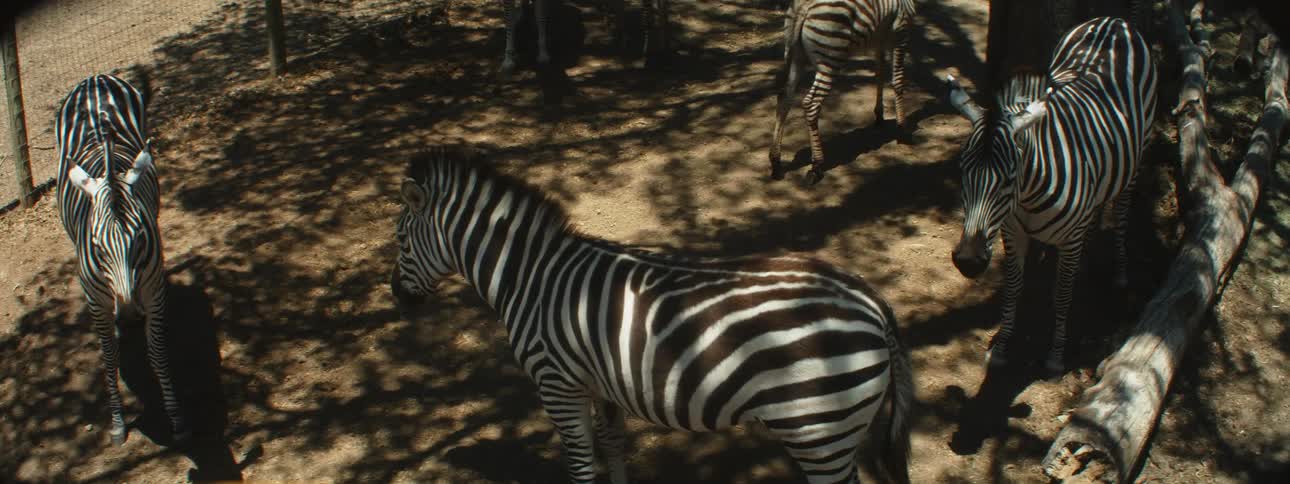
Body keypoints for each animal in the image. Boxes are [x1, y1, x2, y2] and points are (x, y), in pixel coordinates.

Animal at [55, 74, 189, 445]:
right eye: (97, 247)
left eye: (141, 238)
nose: (129, 316)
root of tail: (95, 78)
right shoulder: (96, 300)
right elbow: (109, 356)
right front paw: (117, 423)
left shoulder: (153, 290)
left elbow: (157, 353)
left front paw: (175, 417)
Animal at [391, 147, 913, 483]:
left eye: (399, 241)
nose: (397, 297)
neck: (531, 276)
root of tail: (870, 301)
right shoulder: (600, 384)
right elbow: (613, 447)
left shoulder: (556, 384)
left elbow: (581, 465)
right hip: (836, 431)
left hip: (817, 428)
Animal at [769, 0, 916, 184]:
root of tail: (804, 5)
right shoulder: (901, 31)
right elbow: (898, 81)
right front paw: (902, 129)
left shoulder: (878, 39)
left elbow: (879, 74)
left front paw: (879, 115)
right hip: (830, 56)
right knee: (811, 103)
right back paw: (816, 166)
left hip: (795, 54)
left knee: (784, 98)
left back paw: (776, 162)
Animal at [944, 17, 1158, 374]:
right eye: (961, 171)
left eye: (1009, 178)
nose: (969, 262)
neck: (1028, 195)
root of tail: (1114, 21)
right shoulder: (1012, 231)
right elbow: (1013, 287)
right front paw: (1001, 347)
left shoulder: (1066, 240)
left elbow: (1062, 293)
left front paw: (1056, 356)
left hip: (1138, 155)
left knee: (1122, 211)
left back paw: (1120, 273)